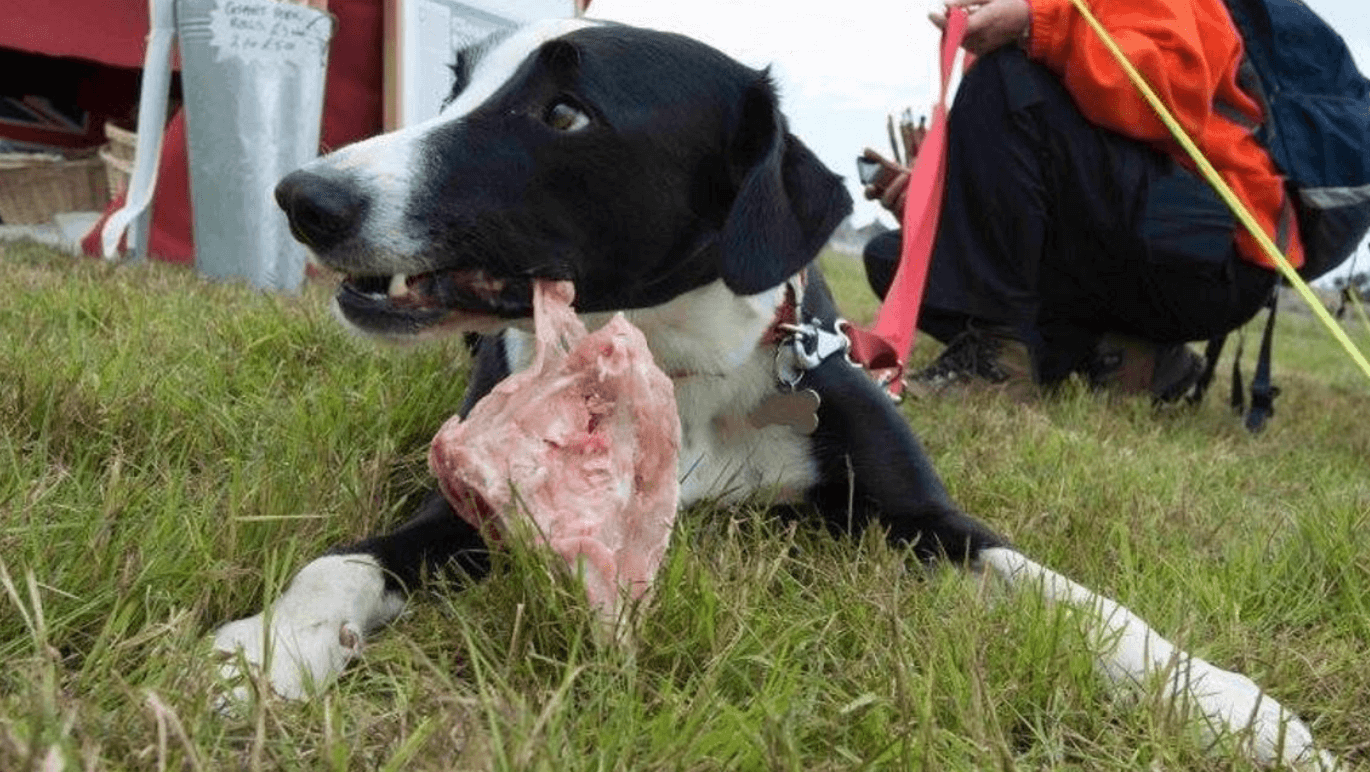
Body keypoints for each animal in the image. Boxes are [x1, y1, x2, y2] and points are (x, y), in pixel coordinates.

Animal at [210, 18, 1326, 766]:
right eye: (454, 85)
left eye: (564, 111)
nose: (303, 197)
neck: (681, 367)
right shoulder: (479, 498)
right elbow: (341, 560)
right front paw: (269, 648)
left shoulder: (922, 515)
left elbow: (1083, 599)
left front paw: (1233, 706)